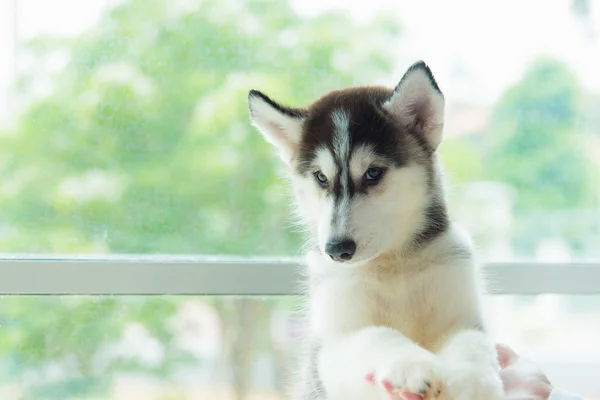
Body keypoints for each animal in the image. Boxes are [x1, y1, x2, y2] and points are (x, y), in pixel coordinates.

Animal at [246, 61, 504, 400]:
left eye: (373, 173)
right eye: (320, 177)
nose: (336, 249)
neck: (392, 265)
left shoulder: (462, 316)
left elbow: (472, 345)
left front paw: (474, 382)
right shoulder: (330, 347)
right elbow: (374, 335)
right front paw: (410, 363)